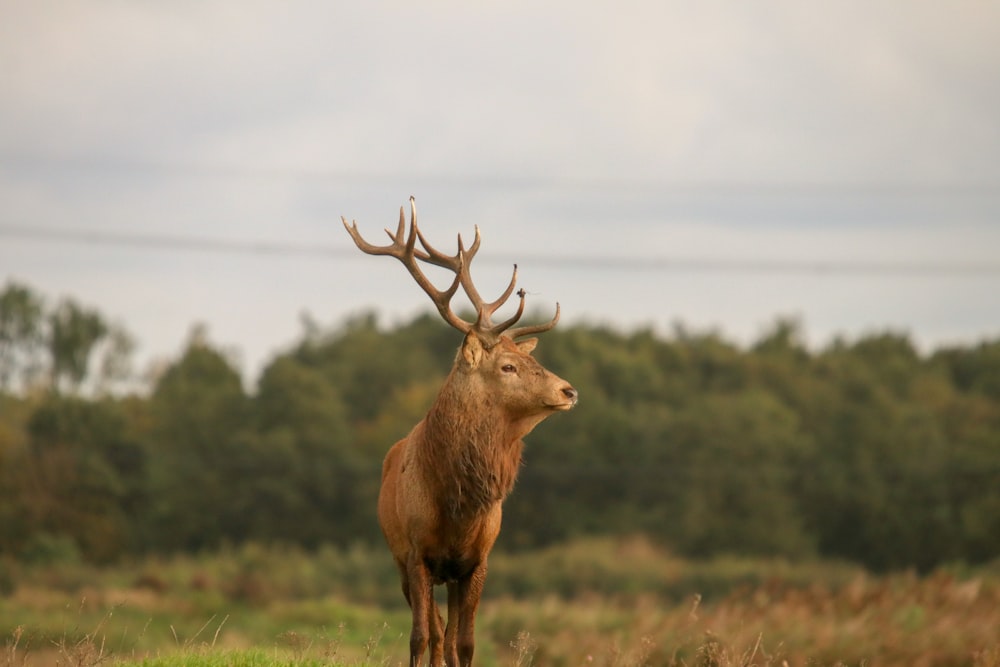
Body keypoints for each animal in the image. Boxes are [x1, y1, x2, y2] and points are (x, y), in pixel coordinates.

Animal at [344, 198, 580, 667]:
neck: (457, 506)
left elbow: (466, 643)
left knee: (449, 636)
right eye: (507, 366)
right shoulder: (416, 553)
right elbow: (419, 637)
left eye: (527, 360)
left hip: (449, 576)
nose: (569, 390)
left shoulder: (476, 559)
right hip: (401, 560)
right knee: (435, 633)